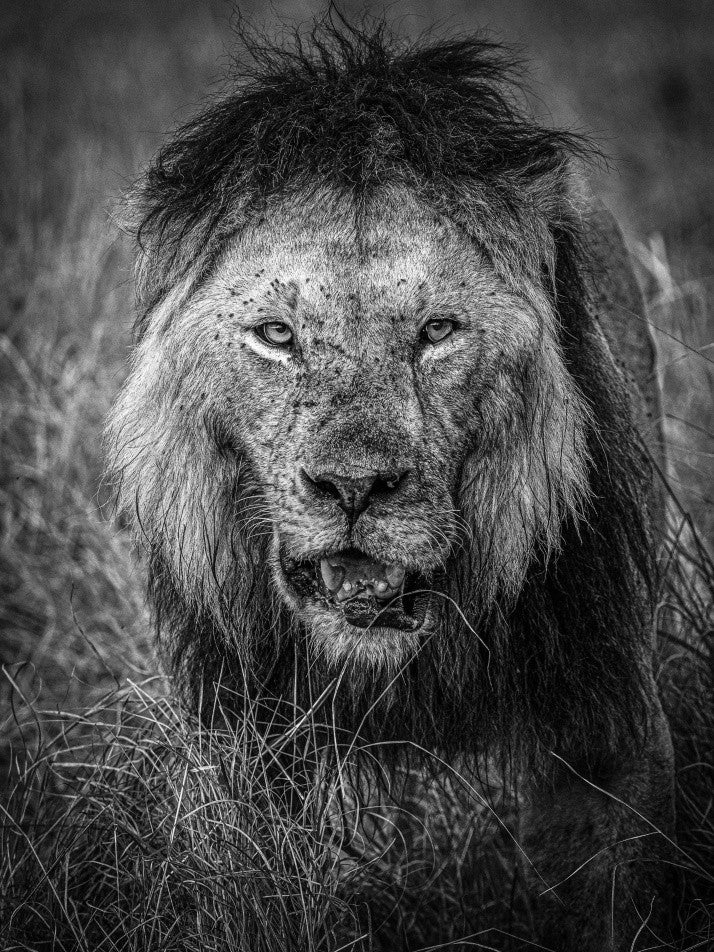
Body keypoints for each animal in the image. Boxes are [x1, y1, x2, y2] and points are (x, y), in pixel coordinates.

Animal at [108, 24, 676, 949]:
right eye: (277, 335)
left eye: (437, 330)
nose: (354, 487)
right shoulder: (244, 745)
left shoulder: (604, 724)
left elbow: (615, 891)